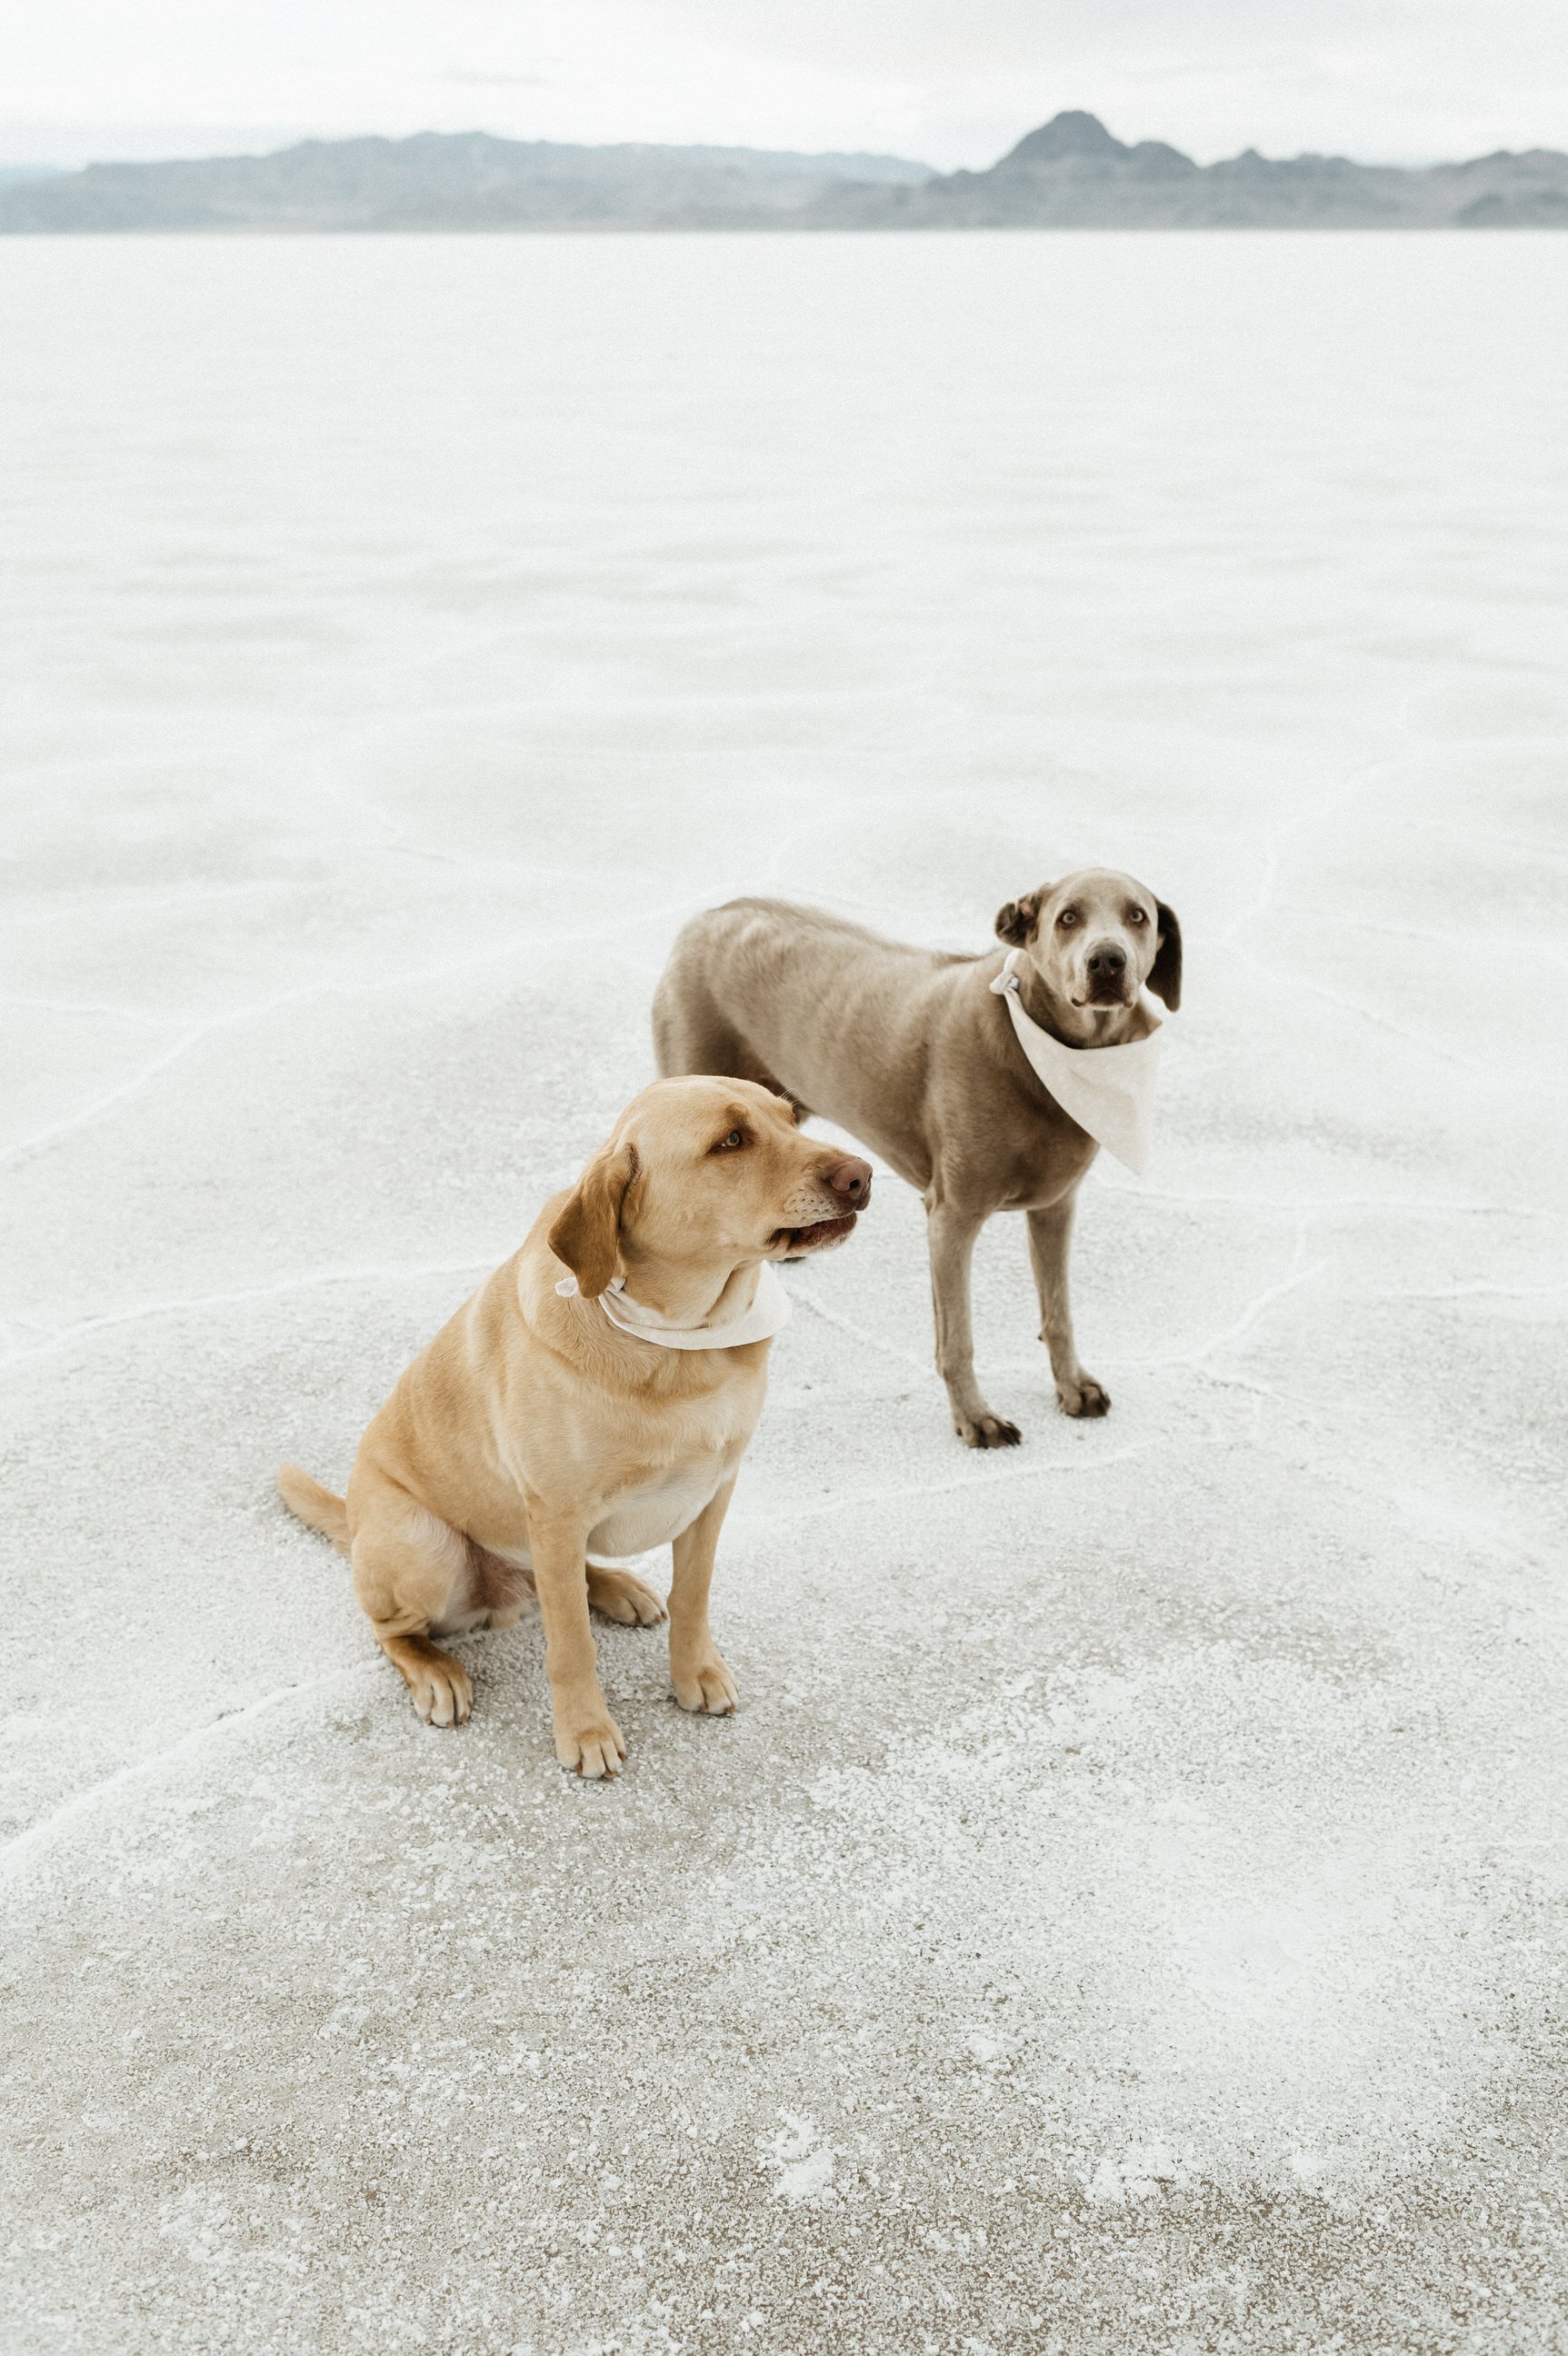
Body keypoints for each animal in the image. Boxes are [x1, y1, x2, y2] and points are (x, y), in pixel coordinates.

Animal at [277, 1079, 866, 1772]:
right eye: (730, 1141)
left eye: (790, 1119)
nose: (862, 1175)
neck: (680, 1345)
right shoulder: (557, 1513)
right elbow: (571, 1645)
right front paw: (585, 1730)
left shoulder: (712, 1493)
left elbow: (693, 1597)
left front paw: (694, 1672)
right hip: (426, 1545)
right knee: (392, 1629)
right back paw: (435, 1670)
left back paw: (615, 1587)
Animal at [644, 872, 1172, 1442]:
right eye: (1068, 917)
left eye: (1138, 916)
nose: (1108, 961)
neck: (1038, 1052)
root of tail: (709, 915)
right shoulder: (951, 1218)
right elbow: (957, 1338)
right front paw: (975, 1418)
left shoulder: (1056, 1208)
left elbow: (1059, 1313)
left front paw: (1073, 1386)